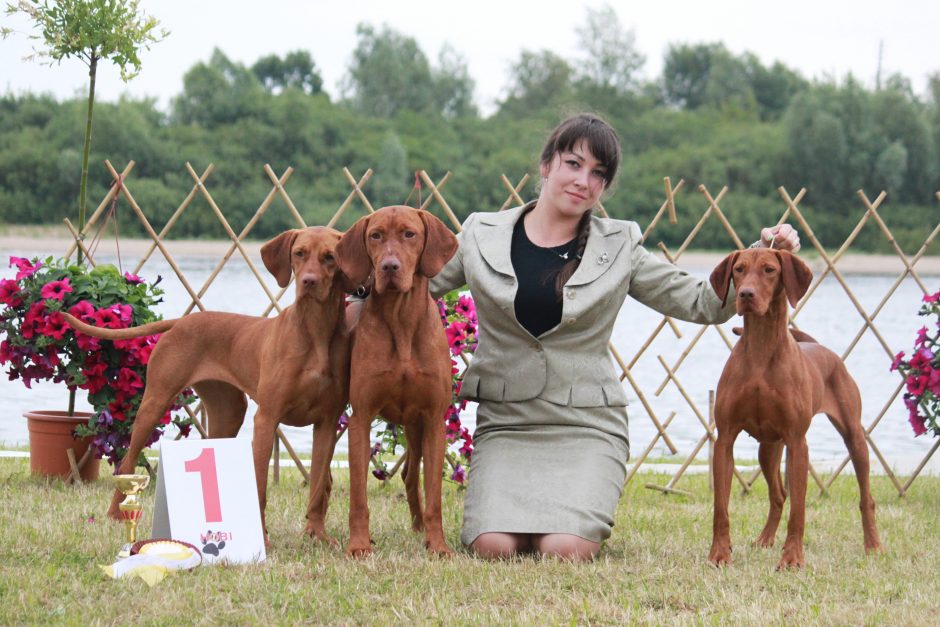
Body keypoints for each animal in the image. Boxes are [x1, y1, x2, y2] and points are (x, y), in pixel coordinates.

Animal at [62, 228, 350, 548]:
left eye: (329, 257)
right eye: (299, 253)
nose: (308, 282)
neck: (315, 331)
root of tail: (181, 321)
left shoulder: (327, 424)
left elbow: (318, 488)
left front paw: (318, 536)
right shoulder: (267, 418)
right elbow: (260, 486)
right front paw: (262, 539)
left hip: (228, 411)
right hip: (155, 402)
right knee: (126, 462)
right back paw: (116, 514)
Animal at [334, 206, 458, 560]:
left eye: (409, 234)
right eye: (375, 235)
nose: (389, 266)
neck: (401, 320)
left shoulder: (433, 419)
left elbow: (434, 496)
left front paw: (438, 545)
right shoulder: (361, 417)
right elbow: (358, 497)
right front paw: (359, 544)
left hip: (415, 428)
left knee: (410, 475)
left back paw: (420, 529)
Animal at [712, 249, 880, 568]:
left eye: (769, 270)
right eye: (739, 269)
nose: (746, 294)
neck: (762, 349)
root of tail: (820, 348)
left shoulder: (797, 441)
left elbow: (799, 512)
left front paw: (792, 559)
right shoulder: (725, 438)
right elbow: (721, 508)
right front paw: (719, 554)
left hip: (855, 438)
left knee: (866, 497)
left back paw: (873, 545)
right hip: (768, 449)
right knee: (778, 495)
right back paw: (765, 539)